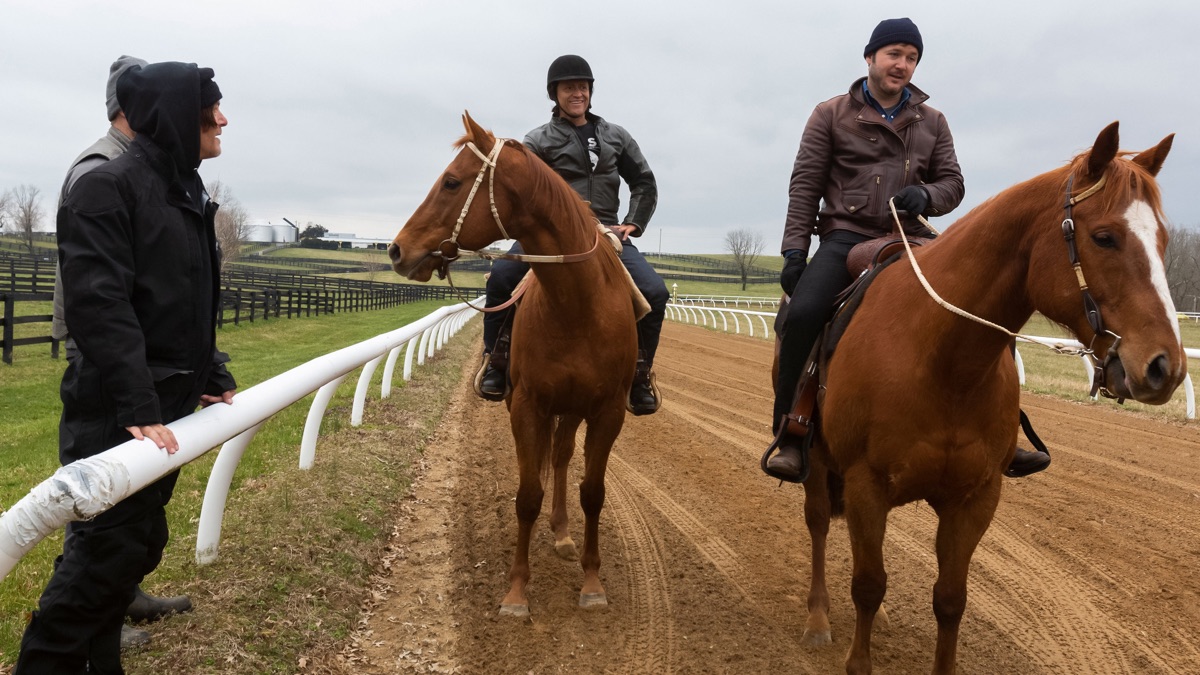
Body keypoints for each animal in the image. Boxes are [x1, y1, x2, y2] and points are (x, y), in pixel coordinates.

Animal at [391, 114, 638, 614]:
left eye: (451, 181)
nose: (397, 250)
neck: (577, 305)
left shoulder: (607, 412)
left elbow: (593, 493)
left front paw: (592, 582)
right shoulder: (527, 405)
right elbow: (527, 496)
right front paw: (517, 590)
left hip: (575, 408)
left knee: (562, 458)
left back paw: (563, 535)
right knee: (555, 458)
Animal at [787, 121, 1180, 672]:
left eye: (1162, 239)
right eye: (1104, 237)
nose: (1167, 366)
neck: (944, 360)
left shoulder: (976, 497)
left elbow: (950, 599)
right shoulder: (867, 483)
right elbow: (867, 584)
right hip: (819, 464)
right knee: (821, 524)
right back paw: (818, 618)